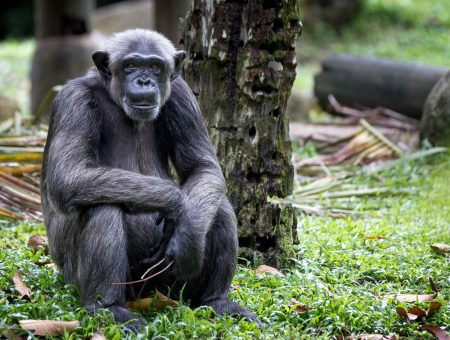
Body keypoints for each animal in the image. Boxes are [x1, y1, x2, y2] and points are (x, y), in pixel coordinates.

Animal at [42, 29, 260, 332]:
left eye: (155, 66)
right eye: (131, 65)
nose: (144, 80)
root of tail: (149, 295)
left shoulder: (182, 95)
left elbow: (202, 167)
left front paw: (188, 232)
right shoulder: (73, 102)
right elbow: (69, 175)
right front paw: (176, 201)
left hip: (171, 287)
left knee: (219, 207)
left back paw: (217, 301)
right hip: (89, 279)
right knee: (102, 207)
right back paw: (109, 308)